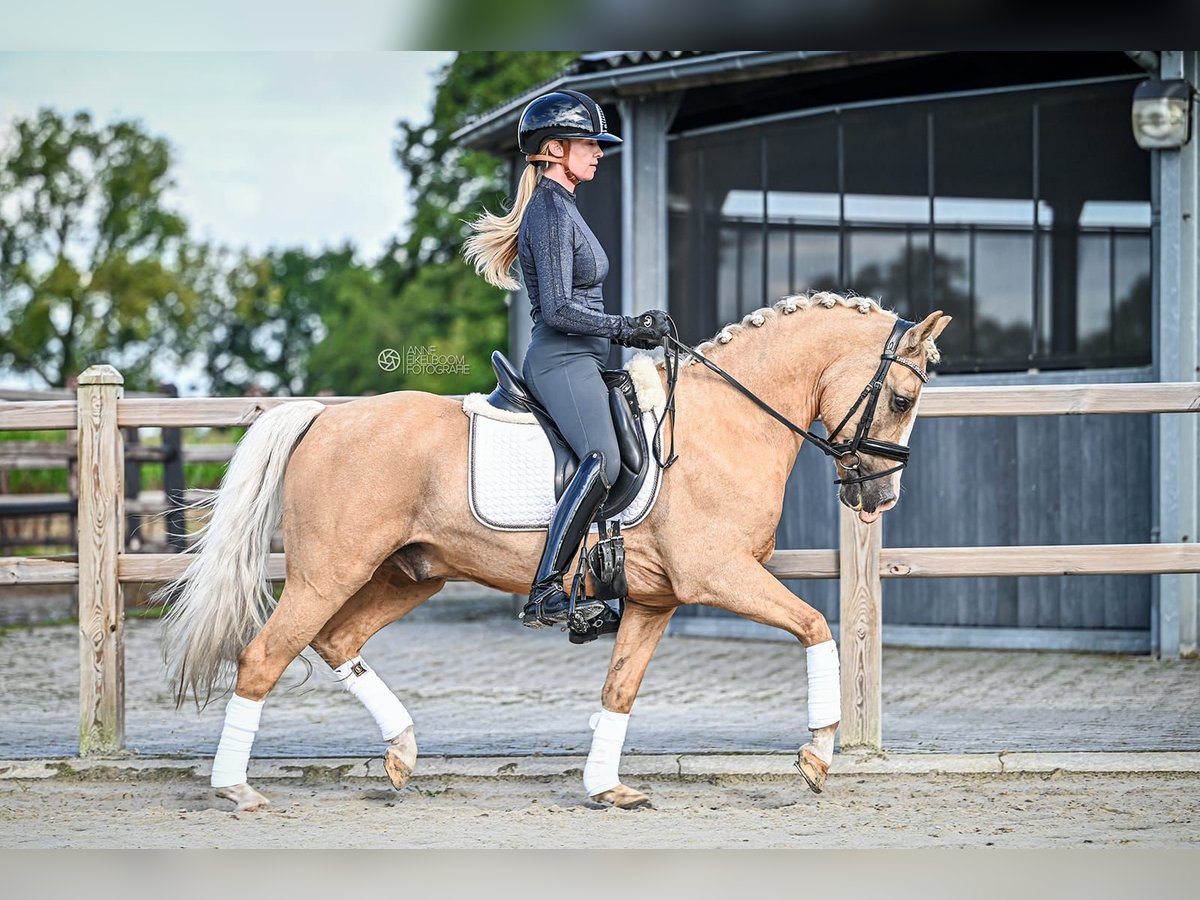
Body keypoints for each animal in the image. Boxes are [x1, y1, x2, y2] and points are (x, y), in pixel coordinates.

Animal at [154, 292, 950, 816]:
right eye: (903, 398)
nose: (878, 497)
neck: (726, 422)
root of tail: (325, 415)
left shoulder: (656, 598)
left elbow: (619, 690)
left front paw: (606, 787)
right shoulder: (720, 576)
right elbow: (816, 627)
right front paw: (817, 754)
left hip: (409, 574)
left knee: (337, 641)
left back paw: (402, 754)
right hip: (330, 572)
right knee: (264, 656)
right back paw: (236, 788)